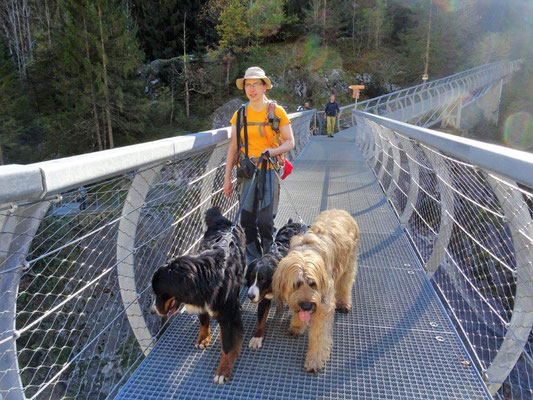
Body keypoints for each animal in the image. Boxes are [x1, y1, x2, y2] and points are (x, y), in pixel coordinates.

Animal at [151, 206, 246, 384]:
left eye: (160, 294)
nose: (153, 311)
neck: (206, 277)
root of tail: (224, 221)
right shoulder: (201, 302)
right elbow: (203, 321)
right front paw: (203, 338)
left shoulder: (229, 315)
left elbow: (228, 345)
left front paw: (223, 370)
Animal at [244, 220, 304, 348]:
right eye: (251, 277)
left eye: (262, 280)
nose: (250, 296)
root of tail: (296, 223)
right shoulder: (264, 298)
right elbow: (261, 319)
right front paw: (257, 337)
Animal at [274, 209, 358, 372]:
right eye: (296, 284)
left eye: (313, 284)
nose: (307, 306)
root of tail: (341, 211)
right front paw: (297, 325)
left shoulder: (323, 306)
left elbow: (319, 335)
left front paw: (314, 360)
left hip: (349, 262)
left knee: (345, 284)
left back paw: (344, 302)